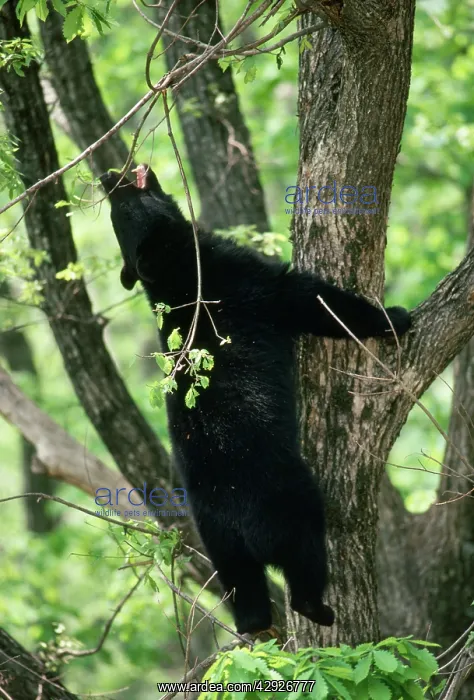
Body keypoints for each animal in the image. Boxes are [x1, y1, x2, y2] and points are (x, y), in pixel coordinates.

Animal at [100, 165, 411, 635]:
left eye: (117, 206)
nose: (107, 176)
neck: (178, 272)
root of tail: (240, 525)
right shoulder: (248, 283)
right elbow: (313, 299)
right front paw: (394, 316)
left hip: (217, 541)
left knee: (243, 589)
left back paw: (253, 622)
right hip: (287, 502)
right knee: (305, 551)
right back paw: (318, 608)